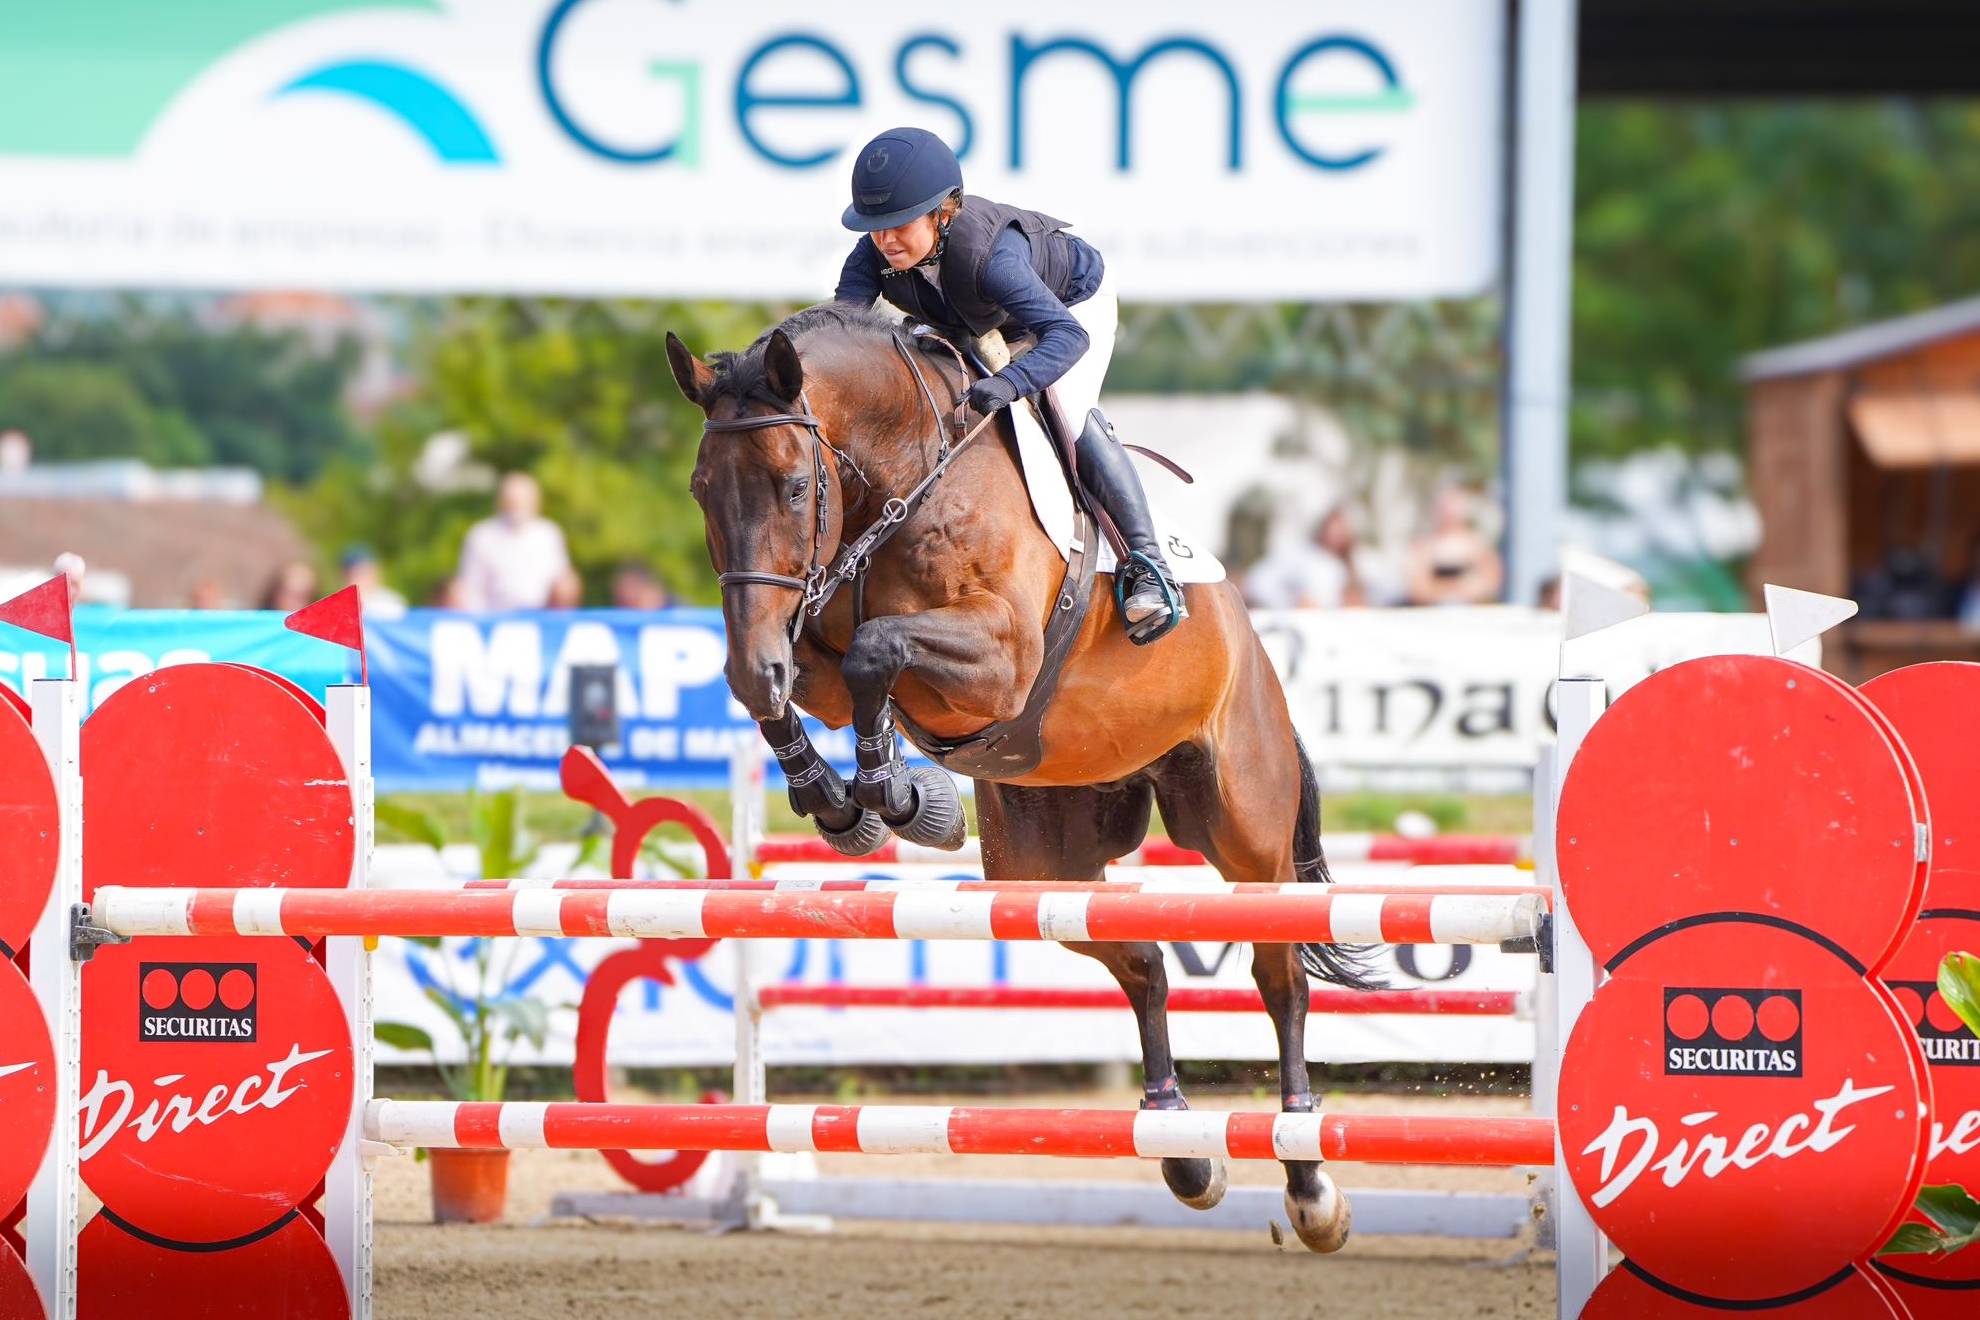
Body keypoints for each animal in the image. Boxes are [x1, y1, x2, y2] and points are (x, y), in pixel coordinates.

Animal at [665, 304, 1378, 1258]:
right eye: (703, 490)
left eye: (789, 487)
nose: (756, 663)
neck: (901, 483)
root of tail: (1254, 642)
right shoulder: (808, 643)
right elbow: (821, 677)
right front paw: (845, 801)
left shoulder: (997, 657)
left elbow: (874, 650)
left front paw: (899, 800)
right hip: (1042, 862)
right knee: (1141, 959)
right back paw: (1183, 1146)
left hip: (1244, 831)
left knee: (1280, 976)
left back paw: (1309, 1184)